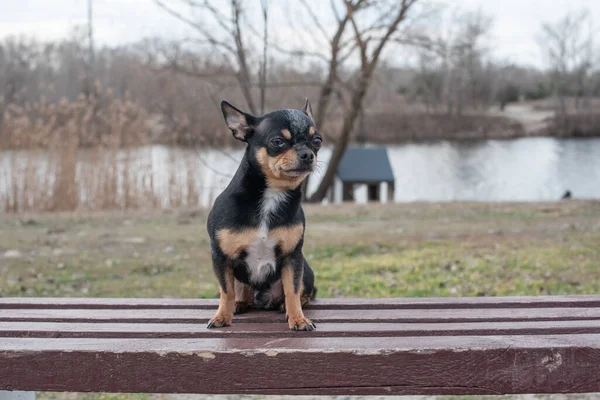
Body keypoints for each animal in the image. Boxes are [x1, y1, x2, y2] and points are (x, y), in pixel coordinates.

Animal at [206, 98, 322, 330]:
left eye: (317, 141)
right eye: (278, 142)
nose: (308, 154)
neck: (273, 194)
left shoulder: (292, 258)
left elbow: (293, 290)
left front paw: (298, 318)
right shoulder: (221, 257)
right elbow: (226, 291)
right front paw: (222, 316)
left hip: (305, 270)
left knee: (305, 292)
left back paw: (286, 305)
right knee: (239, 290)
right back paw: (239, 304)